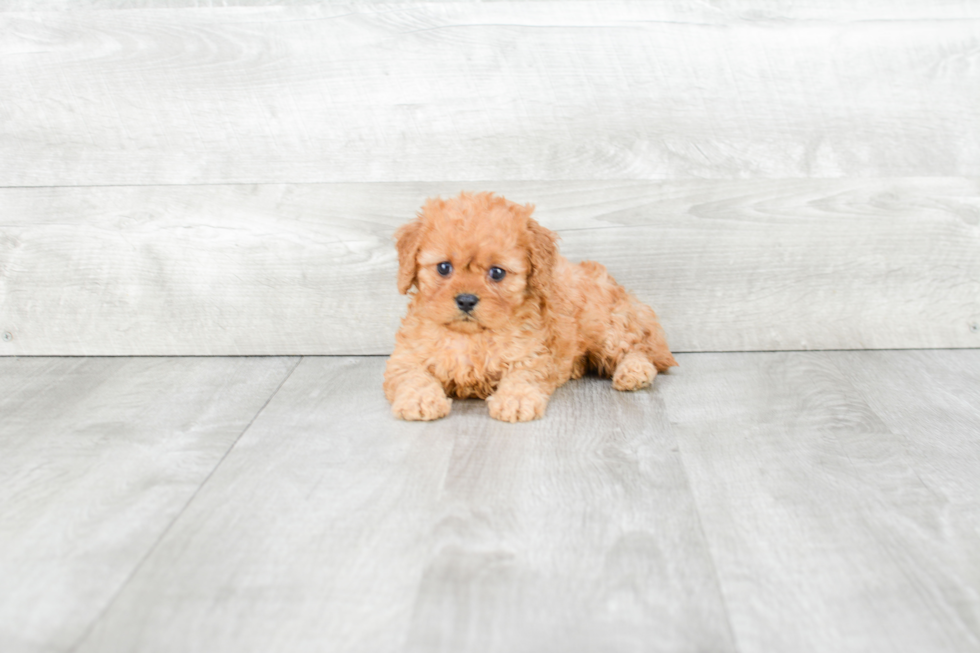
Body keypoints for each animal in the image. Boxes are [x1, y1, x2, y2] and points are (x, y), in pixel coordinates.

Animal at [382, 191, 672, 422]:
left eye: (497, 273)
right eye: (444, 267)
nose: (466, 300)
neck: (472, 336)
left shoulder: (531, 356)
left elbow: (522, 377)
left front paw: (516, 400)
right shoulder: (406, 358)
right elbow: (413, 377)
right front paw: (420, 400)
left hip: (607, 327)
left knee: (637, 348)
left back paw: (634, 372)